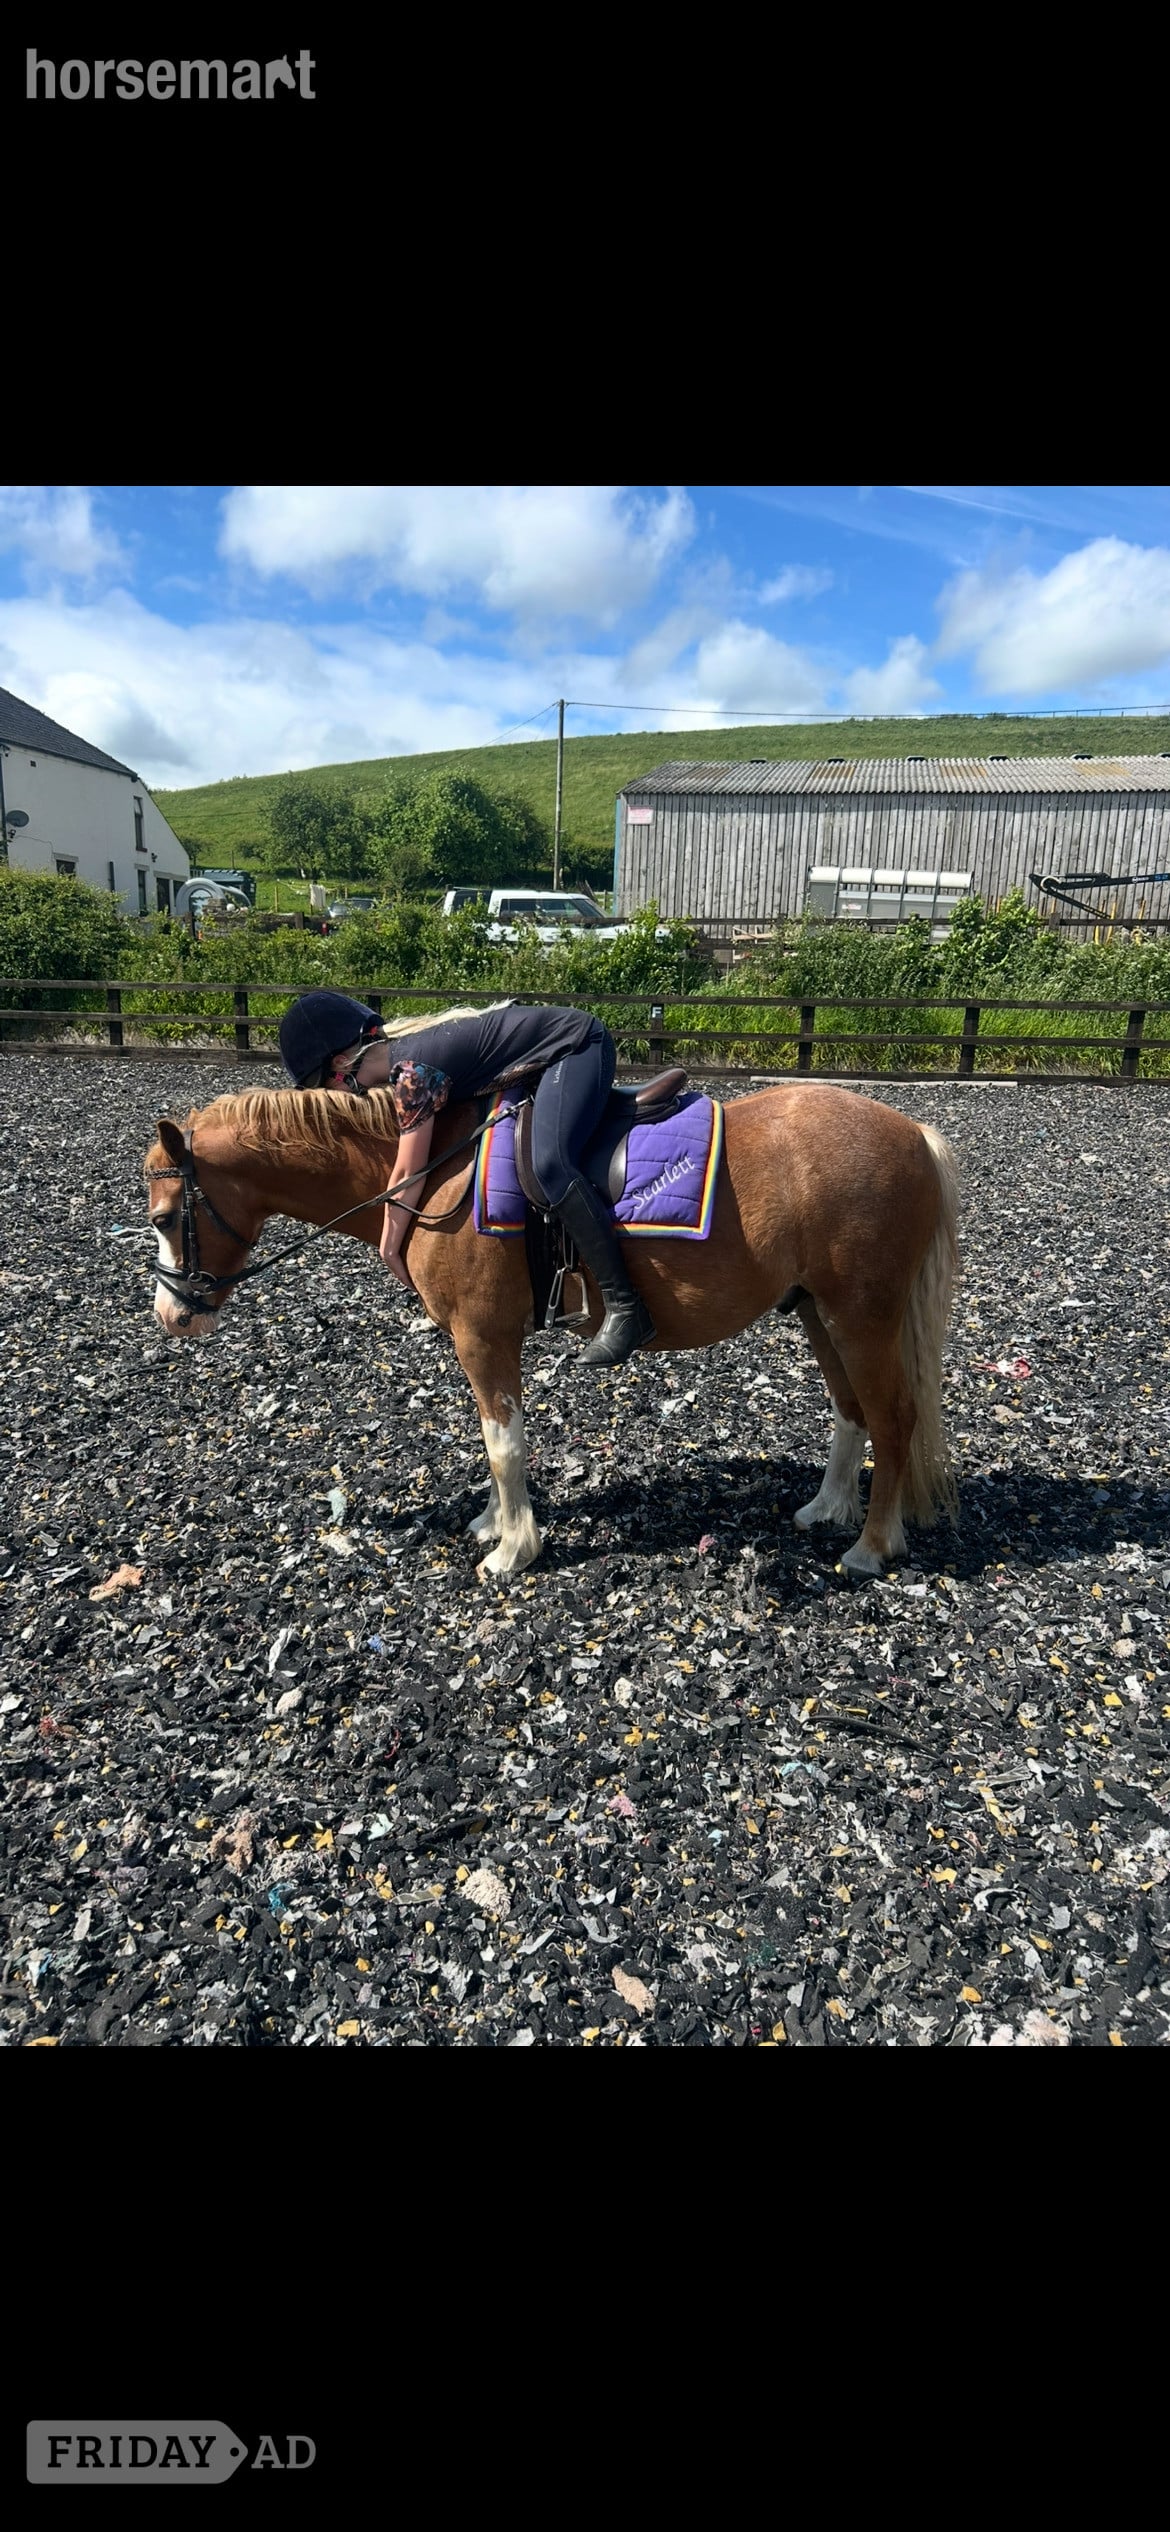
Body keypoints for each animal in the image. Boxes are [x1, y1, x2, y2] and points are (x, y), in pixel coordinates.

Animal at [142, 1080, 959, 1580]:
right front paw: (492, 1524)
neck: (436, 1175)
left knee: (894, 1418)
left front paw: (514, 1549)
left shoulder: (483, 1337)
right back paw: (827, 1508)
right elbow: (493, 1443)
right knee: (852, 1412)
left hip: (863, 1314)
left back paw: (870, 1546)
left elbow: (504, 1445)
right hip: (820, 1312)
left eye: (164, 1217)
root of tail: (913, 1132)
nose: (172, 1314)